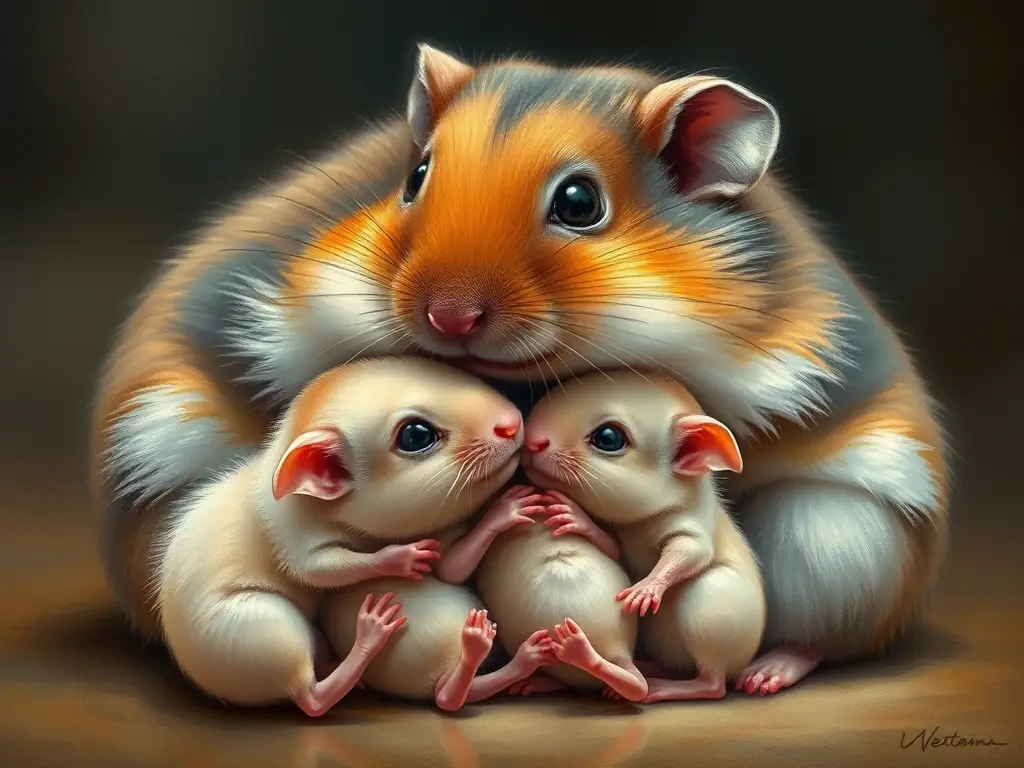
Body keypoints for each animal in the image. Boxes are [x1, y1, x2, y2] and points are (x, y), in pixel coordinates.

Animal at [156, 356, 523, 715]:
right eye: (416, 436)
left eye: (445, 370)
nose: (513, 423)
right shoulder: (294, 533)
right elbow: (318, 569)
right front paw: (401, 559)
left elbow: (453, 567)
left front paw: (503, 512)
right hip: (259, 629)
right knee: (311, 700)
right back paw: (368, 643)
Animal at [522, 369, 766, 703]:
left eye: (608, 438)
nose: (531, 440)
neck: (644, 520)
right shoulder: (624, 540)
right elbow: (615, 550)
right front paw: (577, 518)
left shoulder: (692, 523)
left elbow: (690, 551)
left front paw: (648, 587)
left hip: (712, 605)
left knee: (714, 684)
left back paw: (666, 686)